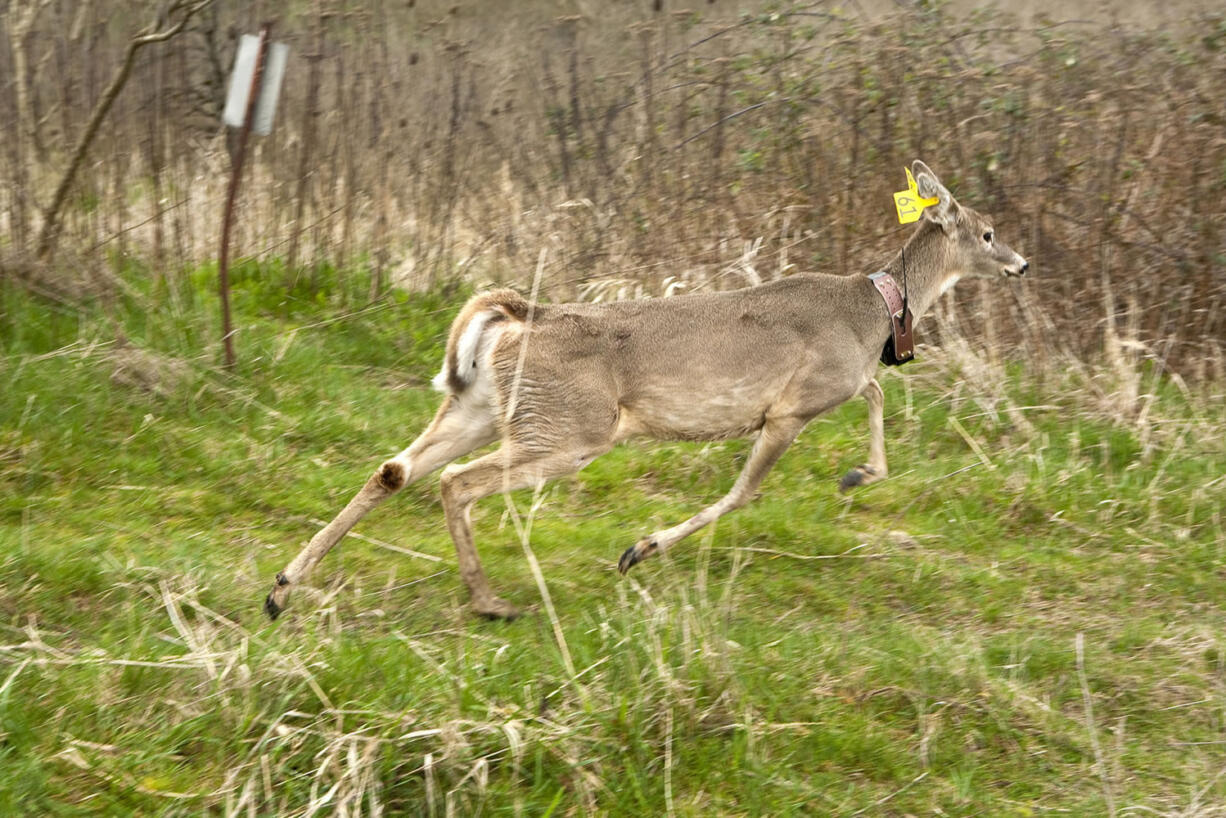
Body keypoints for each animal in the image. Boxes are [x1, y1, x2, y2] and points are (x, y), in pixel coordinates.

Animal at [266, 161, 1024, 620]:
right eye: (988, 232)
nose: (1021, 262)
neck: (873, 311)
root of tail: (516, 320)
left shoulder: (831, 388)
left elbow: (874, 395)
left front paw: (857, 473)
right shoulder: (795, 402)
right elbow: (748, 489)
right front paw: (639, 549)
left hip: (481, 408)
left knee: (395, 469)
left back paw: (282, 588)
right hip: (569, 430)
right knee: (455, 482)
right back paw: (489, 601)